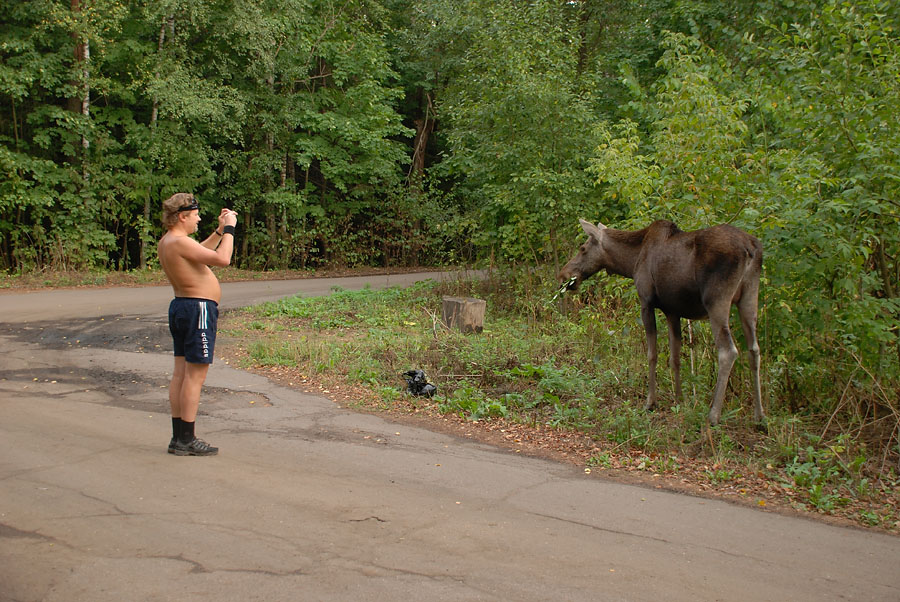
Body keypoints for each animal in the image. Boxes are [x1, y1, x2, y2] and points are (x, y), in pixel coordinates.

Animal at [560, 218, 764, 424]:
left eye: (583, 248)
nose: (563, 274)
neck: (630, 262)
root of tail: (751, 248)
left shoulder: (646, 302)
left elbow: (652, 354)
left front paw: (650, 402)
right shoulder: (672, 311)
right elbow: (675, 358)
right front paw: (679, 399)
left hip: (716, 300)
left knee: (728, 351)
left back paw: (713, 415)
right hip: (749, 296)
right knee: (754, 349)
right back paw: (760, 418)